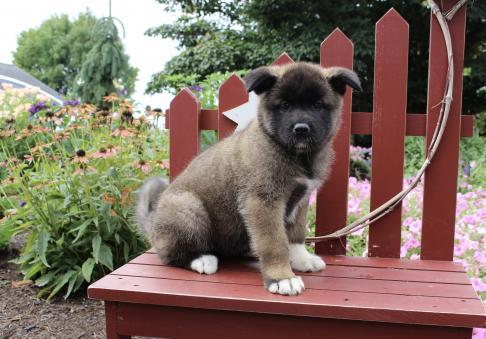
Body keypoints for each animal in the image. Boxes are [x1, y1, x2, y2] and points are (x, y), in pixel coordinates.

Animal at [135, 62, 358, 296]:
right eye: (285, 106)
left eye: (317, 105)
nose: (301, 129)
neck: (295, 155)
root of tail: (153, 224)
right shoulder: (263, 201)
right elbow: (274, 243)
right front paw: (282, 278)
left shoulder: (301, 199)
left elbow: (295, 234)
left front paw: (301, 259)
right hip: (189, 207)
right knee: (169, 253)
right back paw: (201, 259)